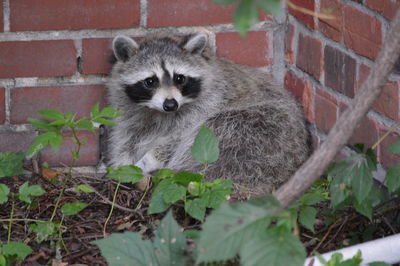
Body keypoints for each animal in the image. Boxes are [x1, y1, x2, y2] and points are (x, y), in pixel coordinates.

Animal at [106, 33, 310, 194]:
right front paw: (123, 163)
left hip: (262, 130)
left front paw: (148, 160)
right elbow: (129, 137)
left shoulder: (207, 104)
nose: (170, 104)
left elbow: (179, 137)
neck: (158, 112)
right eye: (150, 81)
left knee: (218, 130)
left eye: (179, 78)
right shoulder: (131, 112)